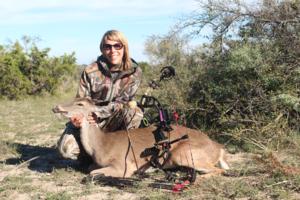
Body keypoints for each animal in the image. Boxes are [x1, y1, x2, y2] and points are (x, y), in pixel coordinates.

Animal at [52, 98, 229, 180]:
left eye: (80, 104)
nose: (56, 107)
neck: (100, 145)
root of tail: (219, 148)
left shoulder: (123, 166)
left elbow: (92, 172)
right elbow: (90, 168)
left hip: (183, 153)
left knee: (220, 170)